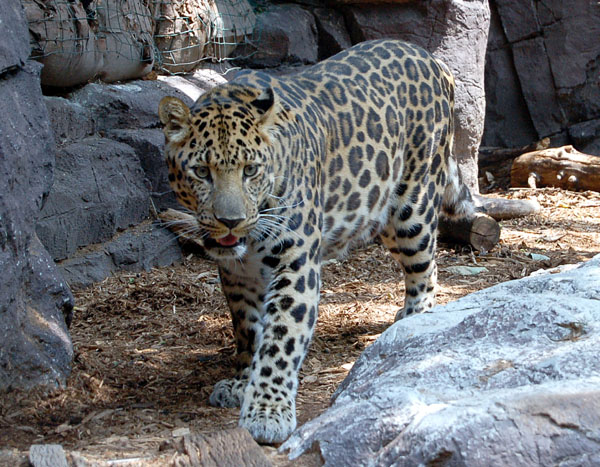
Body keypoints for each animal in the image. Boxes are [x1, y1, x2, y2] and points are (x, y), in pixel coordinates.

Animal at [158, 38, 474, 444]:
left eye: (250, 170)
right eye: (201, 172)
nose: (231, 222)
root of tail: (429, 57)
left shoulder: (296, 259)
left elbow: (281, 336)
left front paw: (267, 412)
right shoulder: (237, 274)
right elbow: (248, 329)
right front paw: (242, 383)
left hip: (411, 207)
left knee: (427, 266)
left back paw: (414, 319)